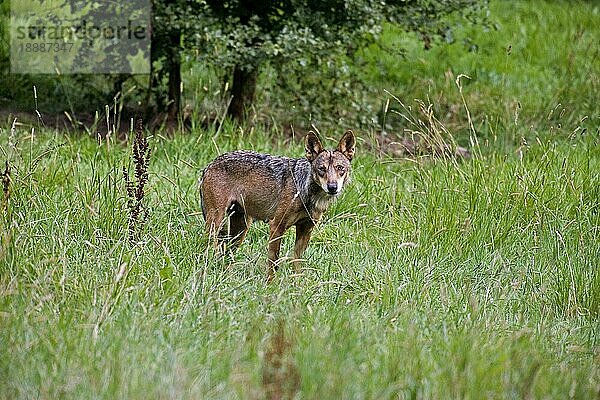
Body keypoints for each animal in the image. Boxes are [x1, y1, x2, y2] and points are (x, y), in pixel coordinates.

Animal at [199, 130, 356, 280]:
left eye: (340, 168)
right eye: (322, 169)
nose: (332, 187)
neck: (304, 190)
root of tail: (208, 165)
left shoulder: (306, 230)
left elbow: (297, 263)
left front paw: (297, 285)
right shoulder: (276, 226)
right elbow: (273, 264)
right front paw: (270, 285)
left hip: (241, 229)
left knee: (226, 254)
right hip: (216, 223)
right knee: (209, 247)